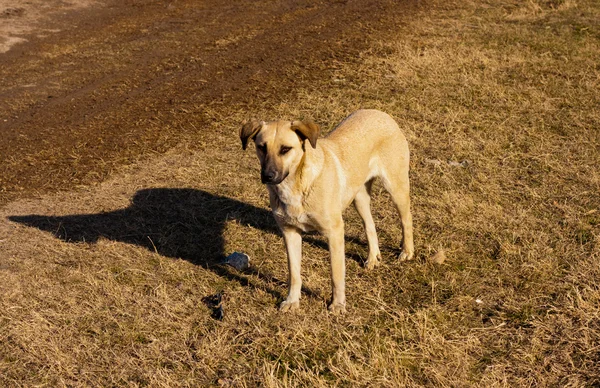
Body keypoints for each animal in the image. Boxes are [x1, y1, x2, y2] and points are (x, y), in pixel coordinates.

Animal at [239, 108, 412, 312]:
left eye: (285, 149)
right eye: (262, 147)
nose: (268, 176)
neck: (298, 184)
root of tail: (381, 113)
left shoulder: (334, 232)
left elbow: (336, 275)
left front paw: (337, 305)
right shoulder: (290, 233)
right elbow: (294, 274)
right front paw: (292, 301)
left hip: (396, 187)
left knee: (406, 219)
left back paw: (407, 252)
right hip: (359, 197)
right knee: (370, 225)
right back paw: (372, 258)